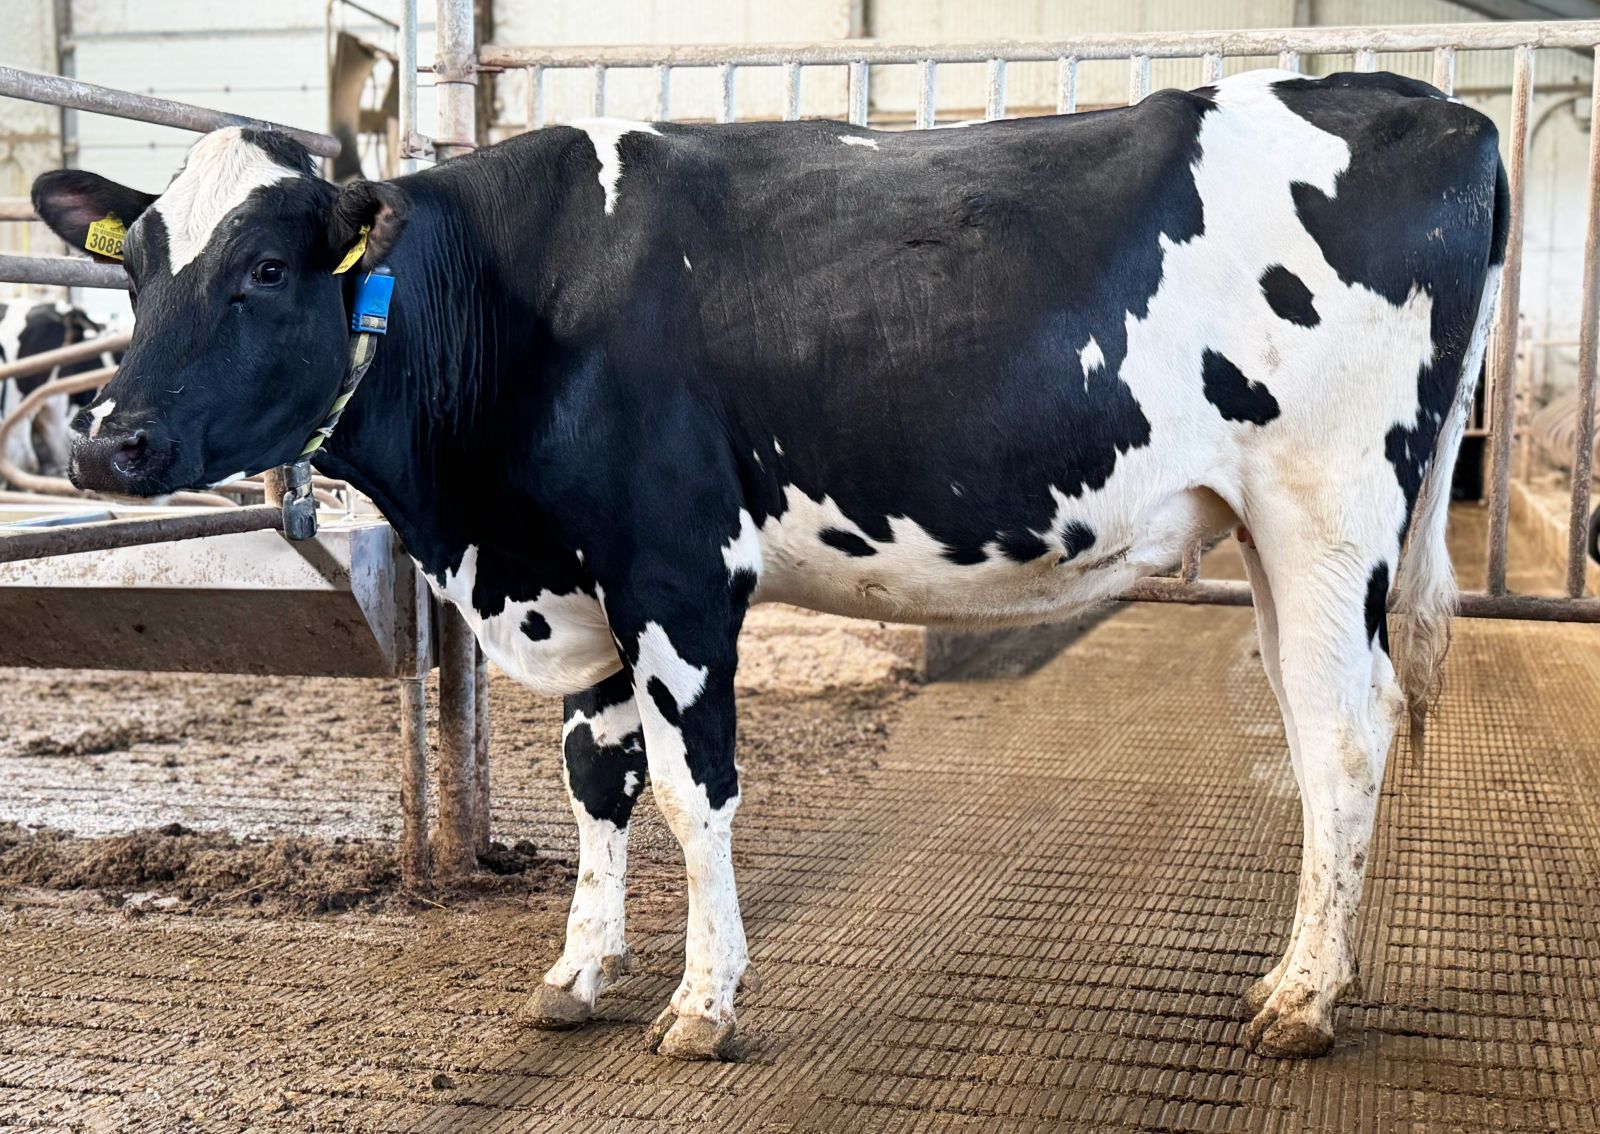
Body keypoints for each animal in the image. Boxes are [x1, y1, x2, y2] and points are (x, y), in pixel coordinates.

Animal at [31, 68, 1507, 1061]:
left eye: (267, 269)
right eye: (135, 268)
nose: (110, 441)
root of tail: (1431, 108)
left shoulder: (677, 569)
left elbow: (695, 795)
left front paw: (701, 1001)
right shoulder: (575, 582)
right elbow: (598, 783)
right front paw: (578, 974)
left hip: (1327, 508)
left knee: (1344, 732)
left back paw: (1304, 996)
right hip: (1272, 532)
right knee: (1323, 727)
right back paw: (1314, 971)